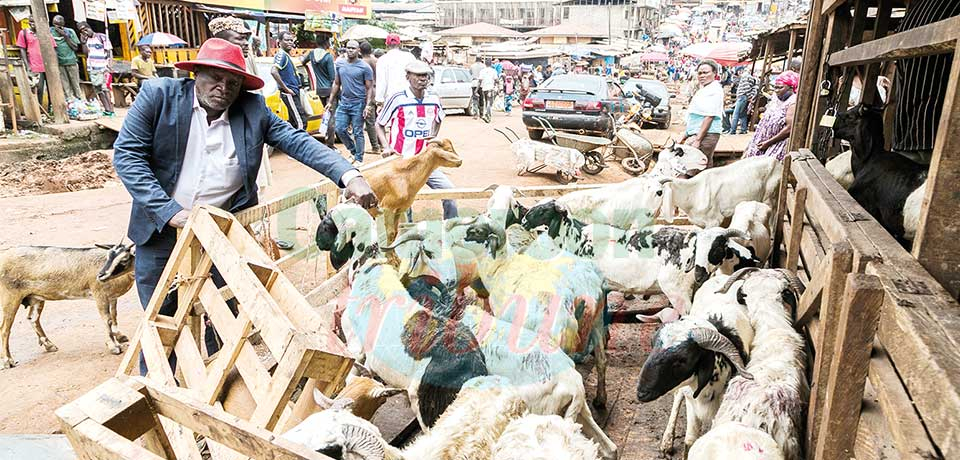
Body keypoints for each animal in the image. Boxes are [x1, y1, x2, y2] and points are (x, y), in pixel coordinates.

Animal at [0, 243, 136, 368]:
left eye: (124, 259)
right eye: (109, 256)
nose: (101, 275)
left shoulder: (112, 297)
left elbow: (114, 315)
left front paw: (120, 337)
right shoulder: (99, 294)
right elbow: (107, 319)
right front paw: (114, 346)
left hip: (36, 297)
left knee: (33, 318)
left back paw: (49, 345)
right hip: (10, 297)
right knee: (5, 329)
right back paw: (8, 361)